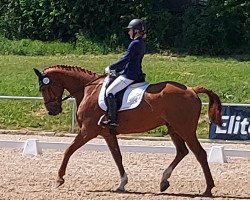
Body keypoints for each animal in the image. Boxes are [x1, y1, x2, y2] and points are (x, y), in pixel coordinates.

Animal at [33, 65, 223, 197]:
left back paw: (208, 189)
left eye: (43, 88)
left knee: (199, 153)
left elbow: (68, 150)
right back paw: (164, 181)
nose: (53, 111)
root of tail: (192, 89)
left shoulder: (88, 131)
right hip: (173, 128)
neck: (88, 90)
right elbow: (117, 156)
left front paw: (59, 179)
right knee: (182, 151)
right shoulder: (107, 133)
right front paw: (122, 184)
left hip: (185, 129)